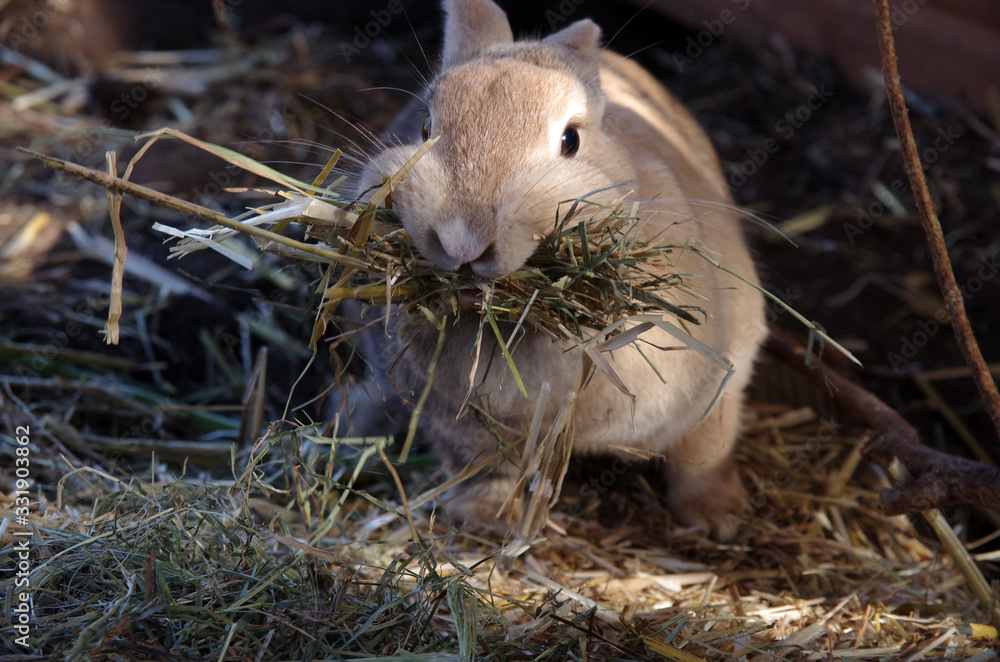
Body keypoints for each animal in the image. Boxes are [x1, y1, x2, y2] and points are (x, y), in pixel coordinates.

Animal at [348, 0, 768, 544]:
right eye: (424, 129)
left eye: (570, 140)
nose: (462, 240)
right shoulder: (469, 431)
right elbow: (489, 469)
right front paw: (486, 520)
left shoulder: (719, 383)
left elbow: (702, 455)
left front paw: (719, 520)